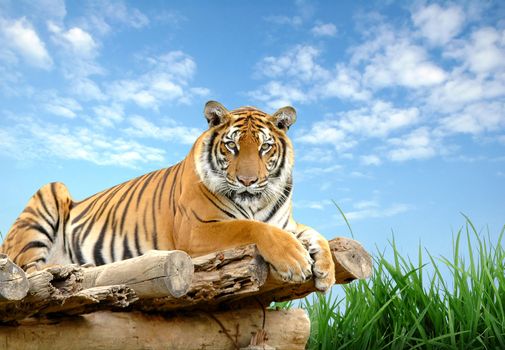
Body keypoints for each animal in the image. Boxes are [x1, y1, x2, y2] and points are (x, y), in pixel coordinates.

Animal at [1, 102, 336, 292]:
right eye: (232, 146)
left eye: (265, 147)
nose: (248, 181)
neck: (255, 201)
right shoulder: (197, 230)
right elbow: (250, 227)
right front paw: (295, 260)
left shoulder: (286, 223)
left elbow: (316, 234)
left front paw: (326, 270)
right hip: (50, 193)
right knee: (30, 270)